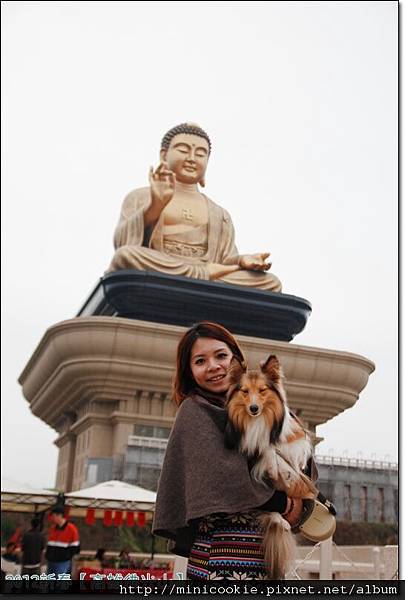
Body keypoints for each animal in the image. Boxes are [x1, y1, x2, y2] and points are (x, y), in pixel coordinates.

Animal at [224, 356, 316, 580]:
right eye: (245, 391)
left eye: (263, 390)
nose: (253, 408)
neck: (260, 421)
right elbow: (266, 453)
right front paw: (273, 467)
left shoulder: (295, 437)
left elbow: (279, 450)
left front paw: (283, 467)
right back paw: (281, 521)